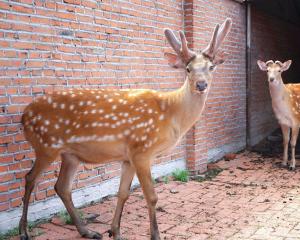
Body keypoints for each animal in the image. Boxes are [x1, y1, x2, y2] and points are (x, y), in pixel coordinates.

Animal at [19, 18, 233, 240]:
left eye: (211, 67)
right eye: (188, 68)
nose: (201, 85)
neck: (171, 114)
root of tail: (24, 116)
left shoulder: (128, 157)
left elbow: (123, 193)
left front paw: (114, 231)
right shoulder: (141, 150)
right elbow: (151, 196)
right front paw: (155, 235)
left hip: (70, 154)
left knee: (61, 186)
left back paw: (87, 231)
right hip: (46, 145)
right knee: (30, 178)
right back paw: (24, 231)